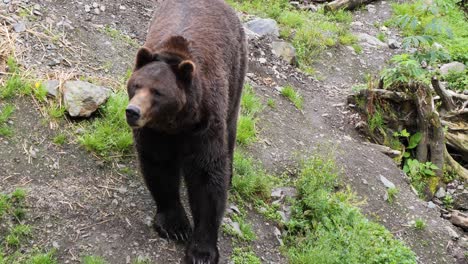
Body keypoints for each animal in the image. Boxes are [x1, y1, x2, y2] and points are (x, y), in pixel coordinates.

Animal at [124, 1, 249, 262]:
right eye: (136, 85)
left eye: (157, 92)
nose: (132, 111)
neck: (176, 122)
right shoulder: (155, 132)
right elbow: (159, 165)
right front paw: (175, 226)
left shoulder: (204, 123)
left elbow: (206, 175)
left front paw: (202, 251)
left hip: (236, 70)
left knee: (231, 128)